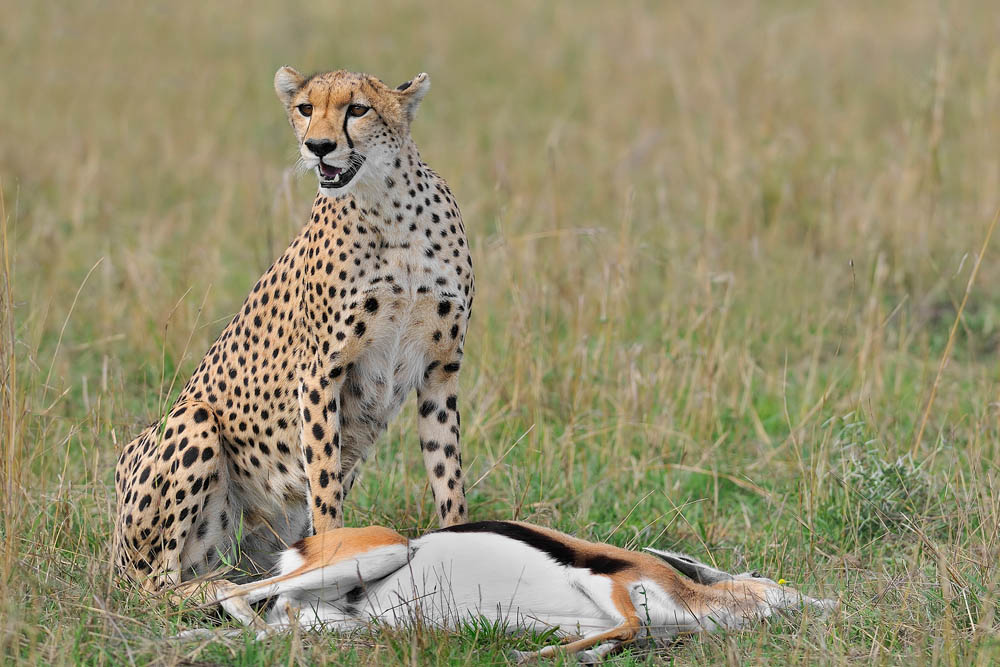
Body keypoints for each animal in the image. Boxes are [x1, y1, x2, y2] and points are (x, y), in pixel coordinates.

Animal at [112, 67, 474, 595]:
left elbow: (449, 479)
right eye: (306, 108)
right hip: (191, 422)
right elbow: (323, 486)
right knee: (156, 585)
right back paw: (213, 591)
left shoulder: (440, 371)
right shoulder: (321, 371)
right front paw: (332, 561)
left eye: (357, 109)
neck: (389, 209)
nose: (318, 146)